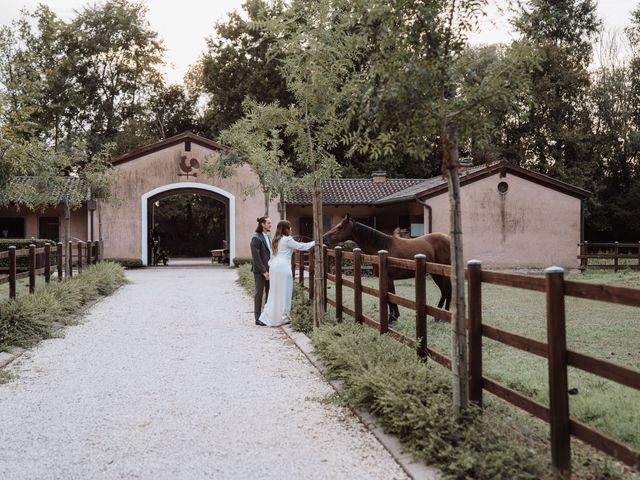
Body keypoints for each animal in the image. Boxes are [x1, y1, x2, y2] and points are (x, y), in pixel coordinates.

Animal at [322, 214, 452, 322]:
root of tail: (448, 239)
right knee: (444, 292)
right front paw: (394, 317)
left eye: (340, 227)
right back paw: (438, 316)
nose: (324, 238)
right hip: (436, 274)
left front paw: (392, 319)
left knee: (447, 291)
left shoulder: (388, 278)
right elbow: (390, 296)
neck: (382, 247)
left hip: (441, 274)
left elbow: (390, 297)